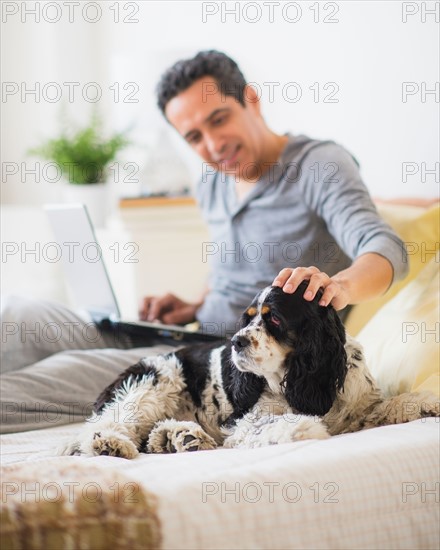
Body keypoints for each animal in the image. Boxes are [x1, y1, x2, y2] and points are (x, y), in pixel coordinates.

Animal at [61, 282, 440, 460]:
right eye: (247, 318)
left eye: (274, 320)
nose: (236, 342)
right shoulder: (246, 423)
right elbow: (280, 424)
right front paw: (306, 430)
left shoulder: (360, 410)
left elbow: (389, 405)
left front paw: (426, 402)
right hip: (152, 385)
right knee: (106, 426)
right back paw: (110, 444)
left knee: (153, 433)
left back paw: (180, 438)